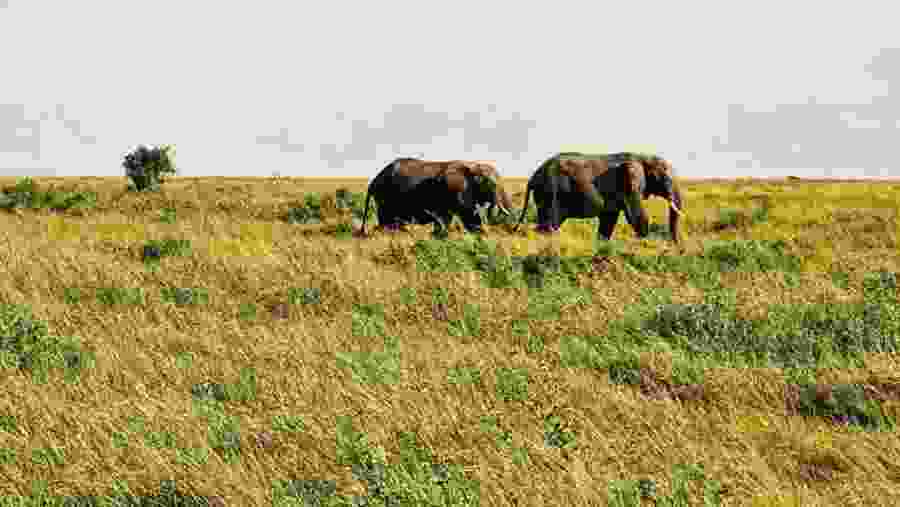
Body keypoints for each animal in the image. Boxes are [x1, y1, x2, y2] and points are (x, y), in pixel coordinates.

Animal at [360, 157, 514, 235]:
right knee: (387, 221)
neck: (473, 166)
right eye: (492, 184)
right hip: (385, 196)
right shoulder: (457, 189)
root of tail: (373, 181)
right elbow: (468, 215)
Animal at [513, 152, 684, 243]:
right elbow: (636, 215)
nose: (675, 245)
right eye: (665, 178)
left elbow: (609, 218)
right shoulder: (629, 184)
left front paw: (603, 242)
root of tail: (533, 177)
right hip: (551, 191)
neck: (642, 157)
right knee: (550, 222)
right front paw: (643, 240)